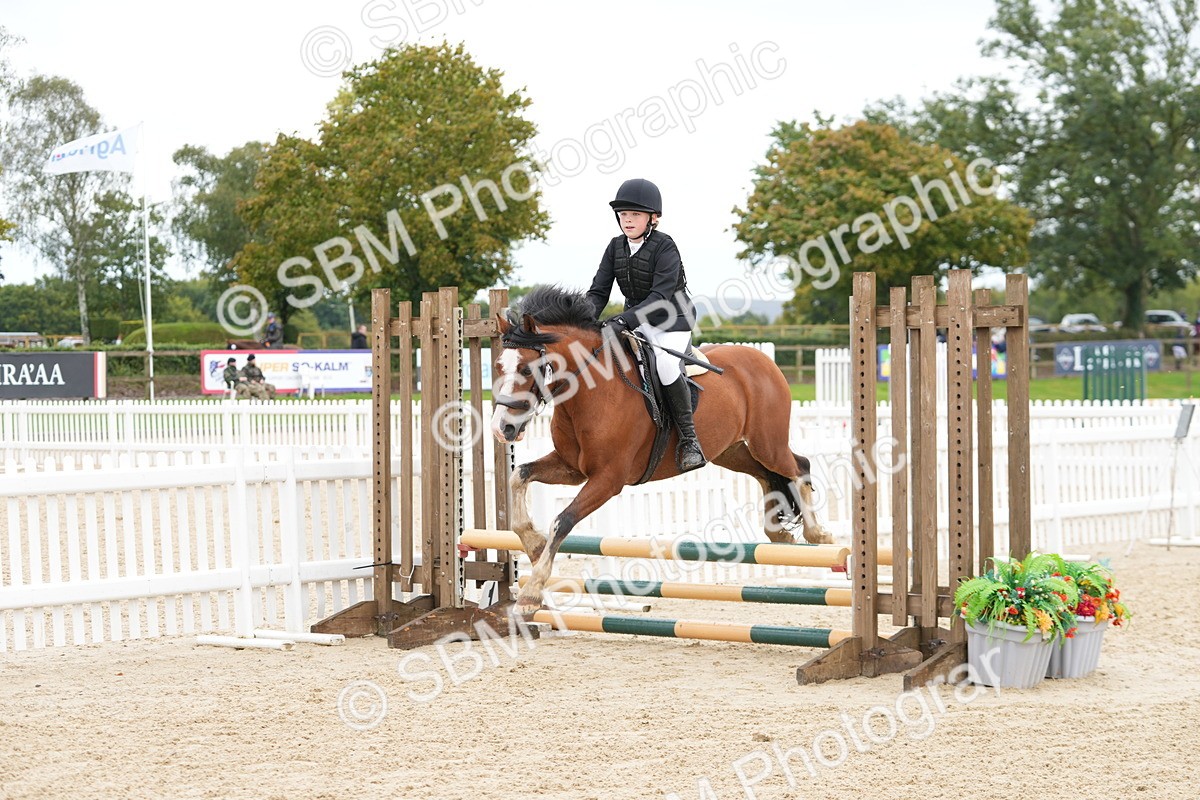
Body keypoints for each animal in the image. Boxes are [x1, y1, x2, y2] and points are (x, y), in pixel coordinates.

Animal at [489, 285, 834, 614]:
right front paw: (534, 545)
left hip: (767, 442)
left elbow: (563, 520)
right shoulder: (572, 468)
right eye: (498, 367)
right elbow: (519, 477)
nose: (501, 428)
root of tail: (763, 361)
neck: (589, 391)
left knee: (798, 467)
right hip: (730, 451)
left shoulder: (608, 479)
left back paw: (820, 535)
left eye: (526, 369)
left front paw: (532, 591)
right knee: (766, 475)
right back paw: (778, 533)